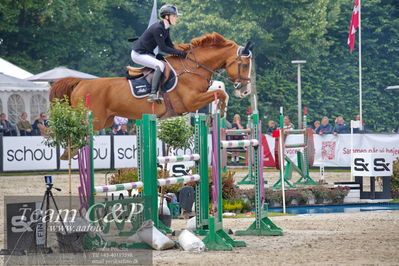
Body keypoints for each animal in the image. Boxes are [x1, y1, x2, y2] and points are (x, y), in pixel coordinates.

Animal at [50, 32, 253, 130]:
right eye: (244, 65)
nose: (245, 91)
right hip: (95, 121)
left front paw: (217, 115)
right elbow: (220, 92)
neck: (193, 67)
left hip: (105, 121)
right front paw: (223, 113)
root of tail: (80, 82)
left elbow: (220, 92)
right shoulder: (190, 102)